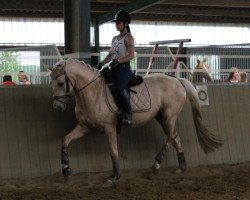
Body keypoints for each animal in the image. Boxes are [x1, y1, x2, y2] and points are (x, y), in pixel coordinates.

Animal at [47, 58, 222, 185]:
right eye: (52, 84)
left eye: (61, 83)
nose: (57, 107)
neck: (93, 92)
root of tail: (177, 80)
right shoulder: (85, 126)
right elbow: (65, 140)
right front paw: (66, 170)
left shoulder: (109, 128)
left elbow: (113, 151)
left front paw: (114, 177)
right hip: (162, 117)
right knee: (175, 137)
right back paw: (181, 167)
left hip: (169, 115)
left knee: (171, 137)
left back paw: (156, 165)